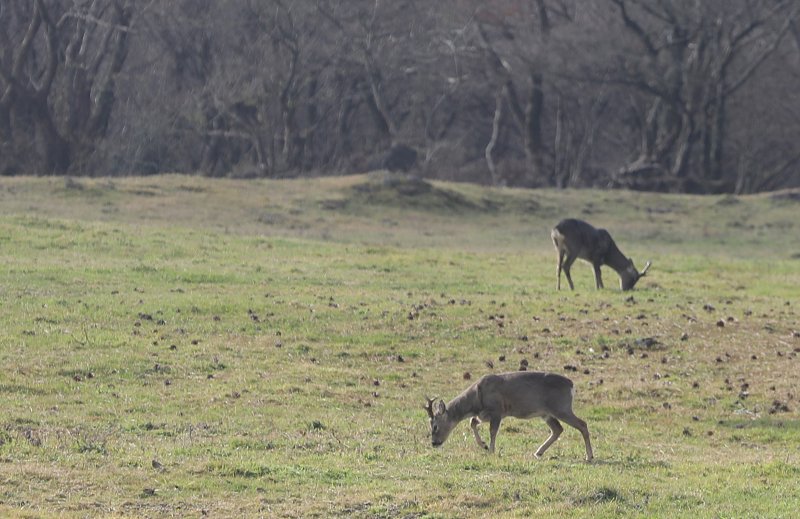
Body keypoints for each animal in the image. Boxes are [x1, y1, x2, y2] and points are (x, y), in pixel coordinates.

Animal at [424, 372, 592, 462]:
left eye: (435, 426)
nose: (434, 443)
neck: (476, 399)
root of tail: (571, 385)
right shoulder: (484, 414)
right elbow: (472, 422)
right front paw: (484, 445)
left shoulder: (497, 411)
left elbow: (492, 431)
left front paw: (490, 450)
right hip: (546, 413)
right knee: (558, 429)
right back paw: (538, 452)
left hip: (561, 407)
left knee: (582, 424)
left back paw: (589, 456)